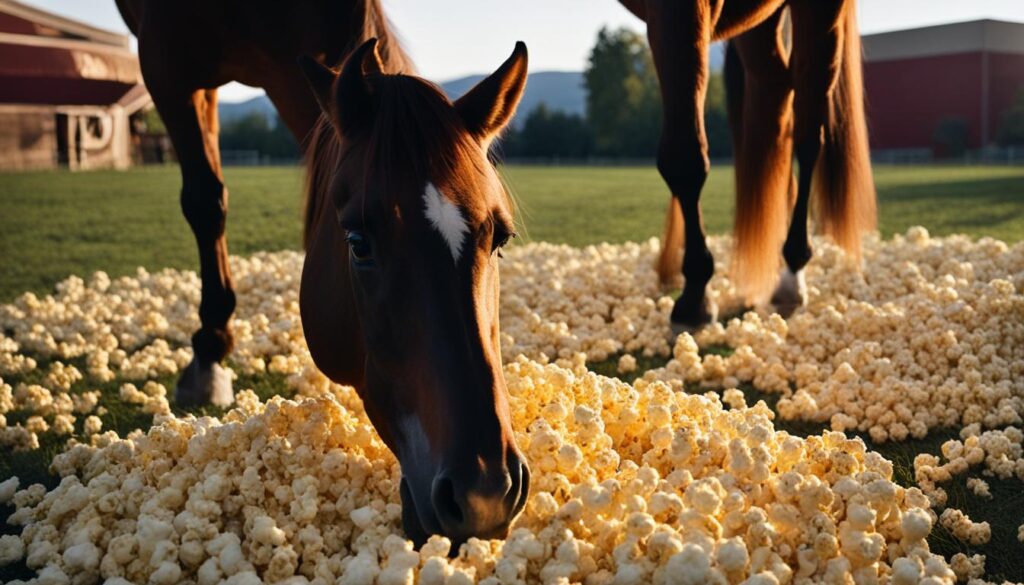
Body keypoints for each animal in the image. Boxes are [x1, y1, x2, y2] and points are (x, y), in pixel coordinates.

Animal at [618, 0, 876, 333]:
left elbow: (683, 158)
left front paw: (695, 297)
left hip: (818, 14)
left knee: (808, 135)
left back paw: (793, 268)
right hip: (759, 26)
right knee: (775, 93)